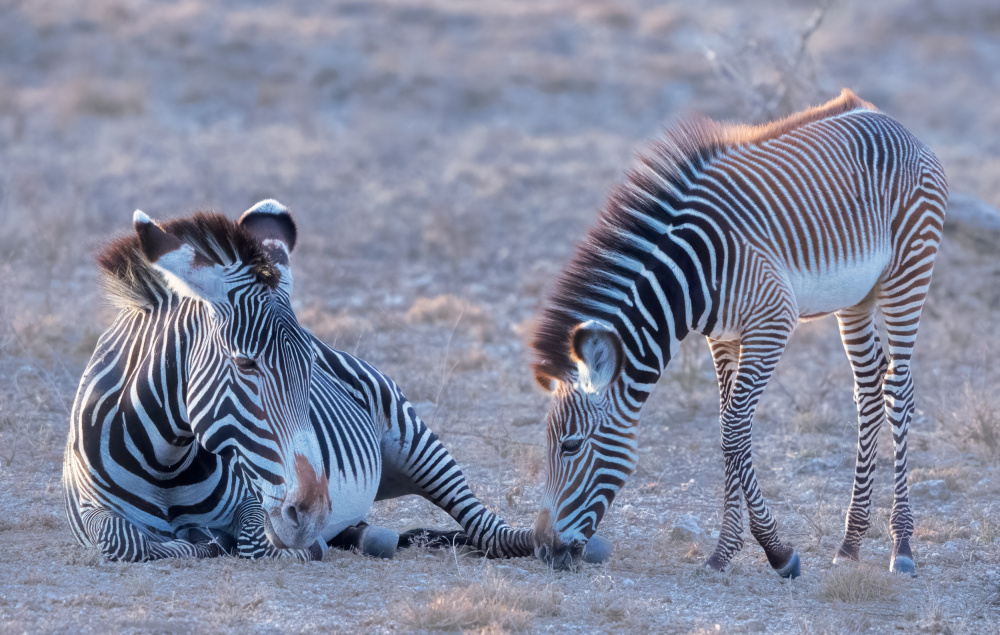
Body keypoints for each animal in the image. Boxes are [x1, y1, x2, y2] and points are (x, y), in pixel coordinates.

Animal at [63, 201, 536, 564]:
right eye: (245, 363)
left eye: (309, 364)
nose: (312, 512)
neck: (166, 462)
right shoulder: (87, 512)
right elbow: (124, 540)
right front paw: (193, 543)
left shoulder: (254, 502)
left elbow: (254, 542)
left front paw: (232, 543)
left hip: (412, 437)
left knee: (487, 528)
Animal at [528, 89, 948, 576]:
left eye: (571, 446)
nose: (543, 549)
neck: (691, 273)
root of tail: (891, 122)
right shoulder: (723, 337)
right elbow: (730, 427)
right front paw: (724, 551)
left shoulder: (773, 321)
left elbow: (733, 430)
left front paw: (777, 551)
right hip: (856, 299)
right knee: (869, 390)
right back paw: (850, 542)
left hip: (908, 273)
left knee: (899, 389)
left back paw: (902, 546)